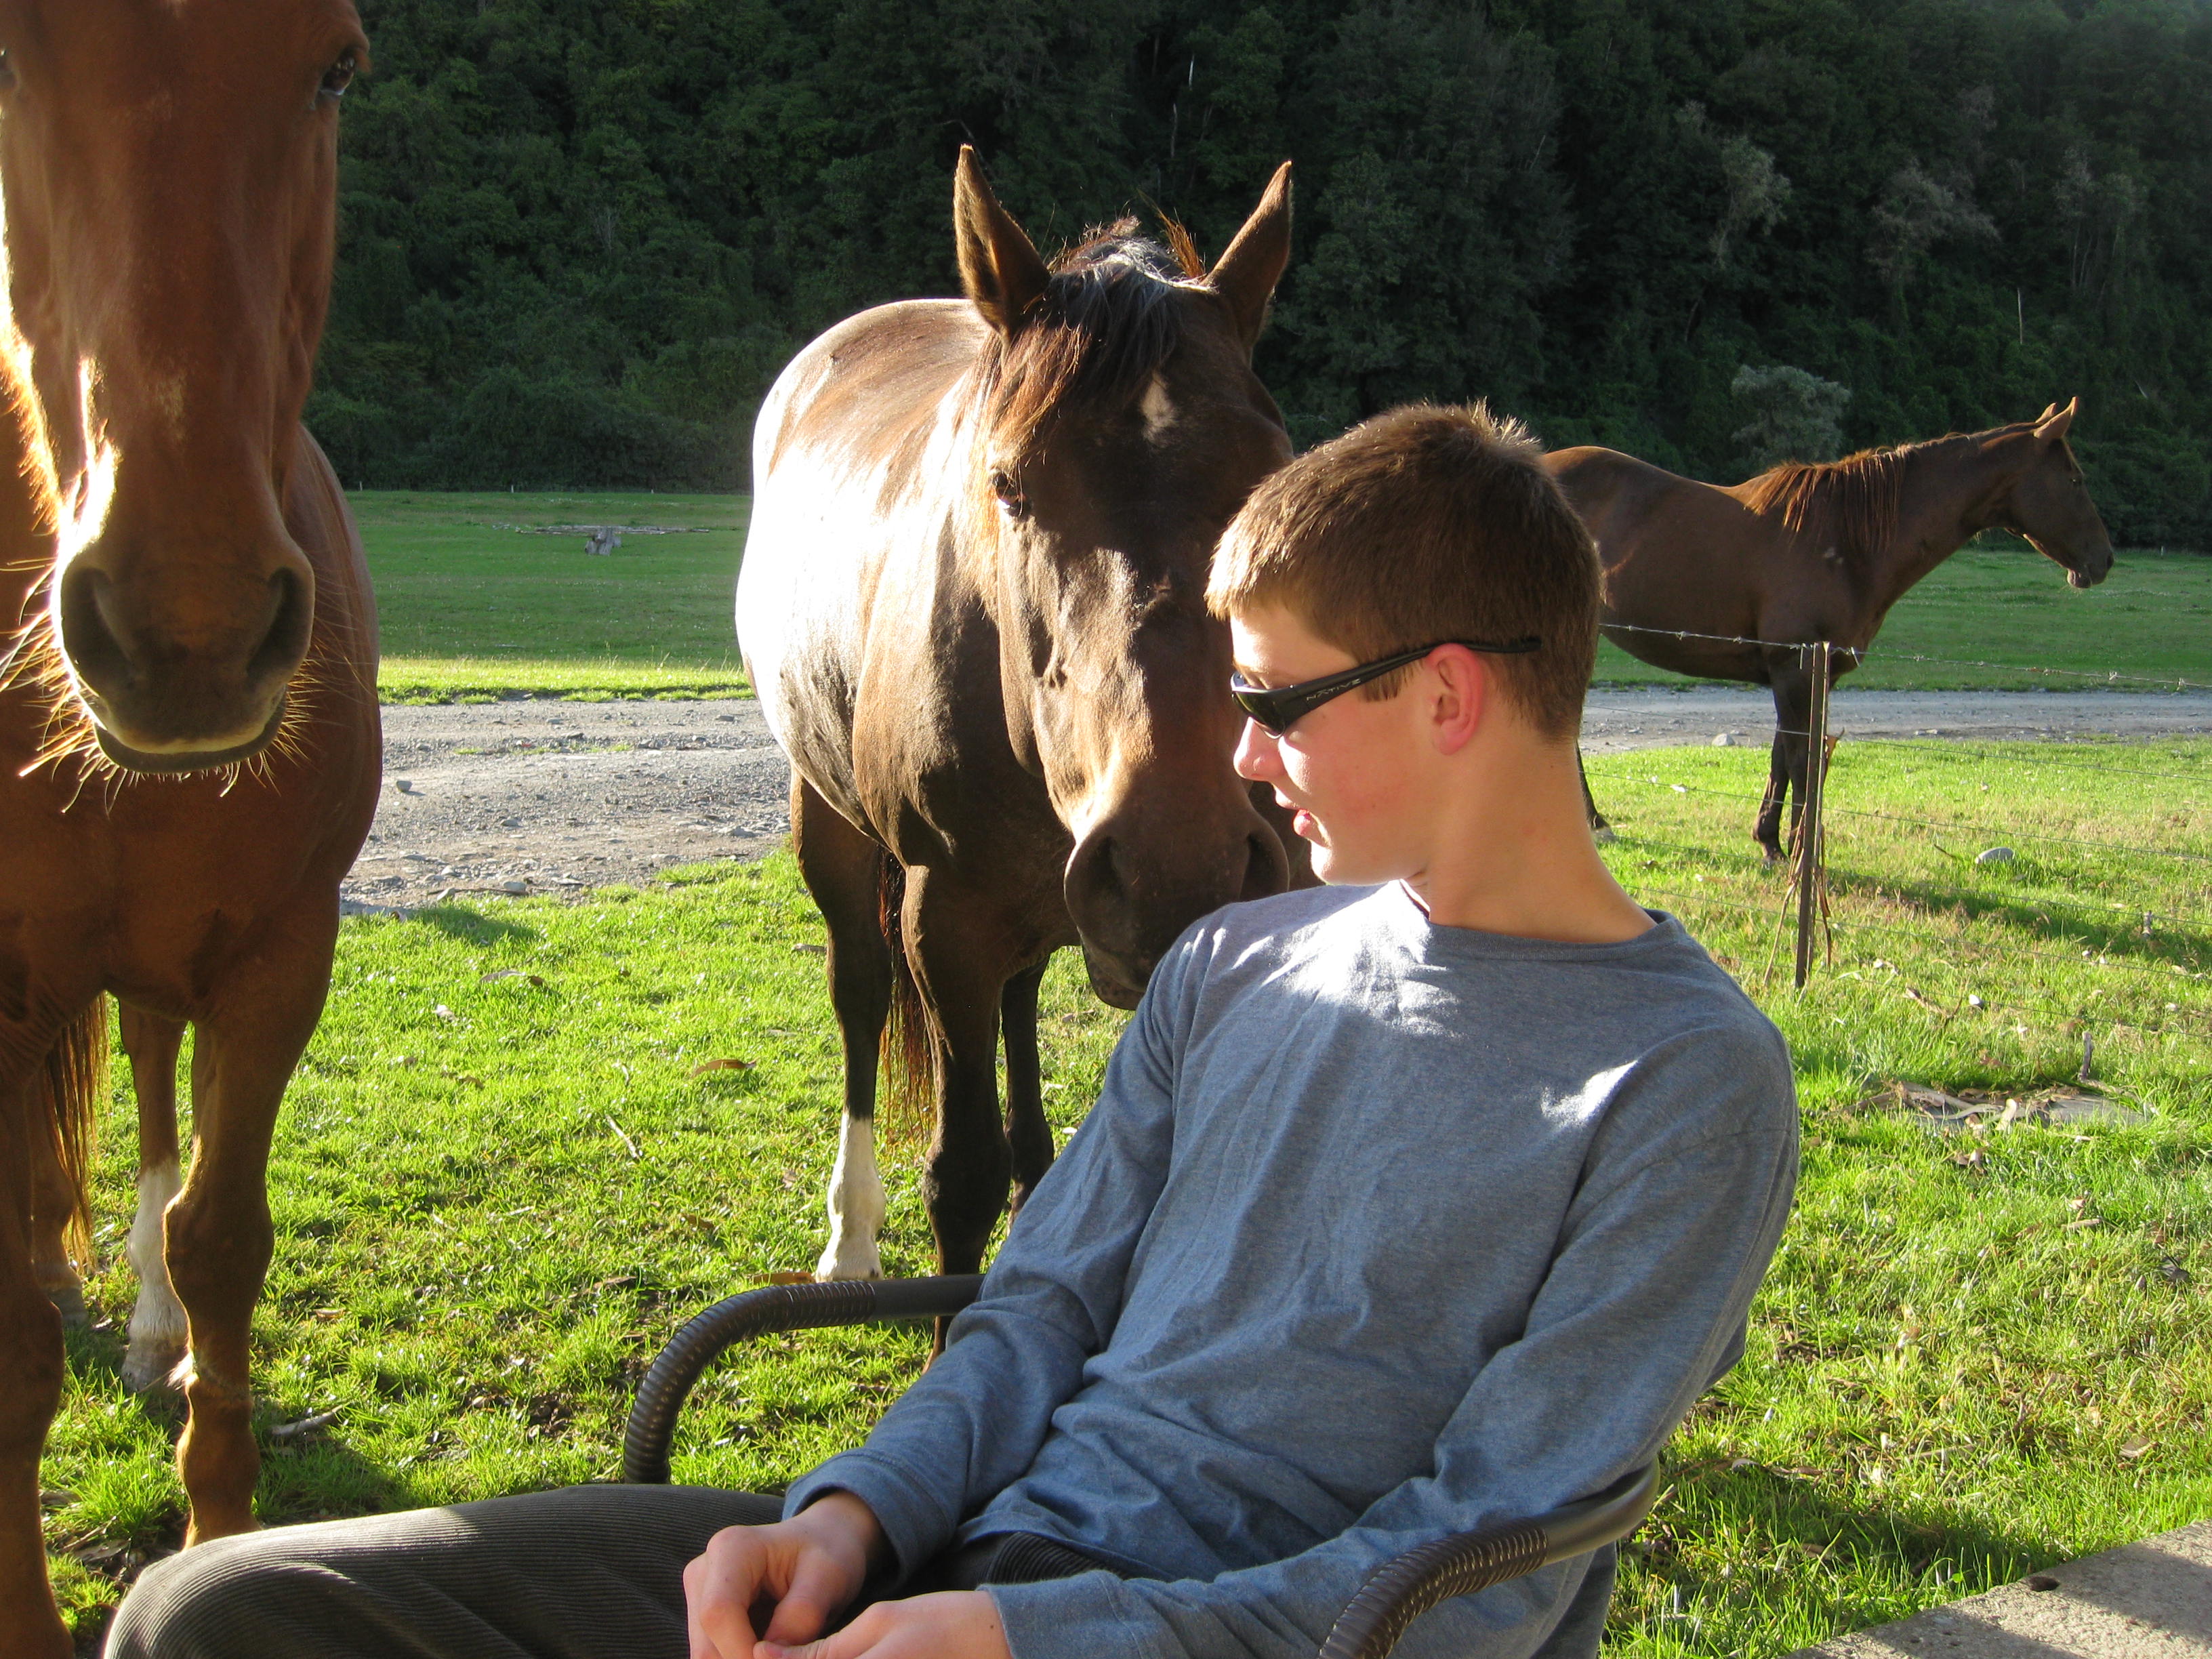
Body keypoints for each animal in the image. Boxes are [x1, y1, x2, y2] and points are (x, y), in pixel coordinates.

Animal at [739, 152, 1292, 1300]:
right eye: (1008, 483)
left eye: (1267, 475)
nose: (1180, 866)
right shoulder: (943, 921)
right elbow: (961, 1178)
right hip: (832, 823)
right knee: (860, 992)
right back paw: (851, 1239)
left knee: (1022, 994)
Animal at [1548, 405, 2114, 862]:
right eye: (2075, 480)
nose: (2104, 560)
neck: (1846, 539)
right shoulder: (1794, 670)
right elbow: (1803, 761)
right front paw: (1801, 854)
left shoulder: (1808, 673)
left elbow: (1786, 755)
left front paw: (1771, 842)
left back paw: (1593, 822)